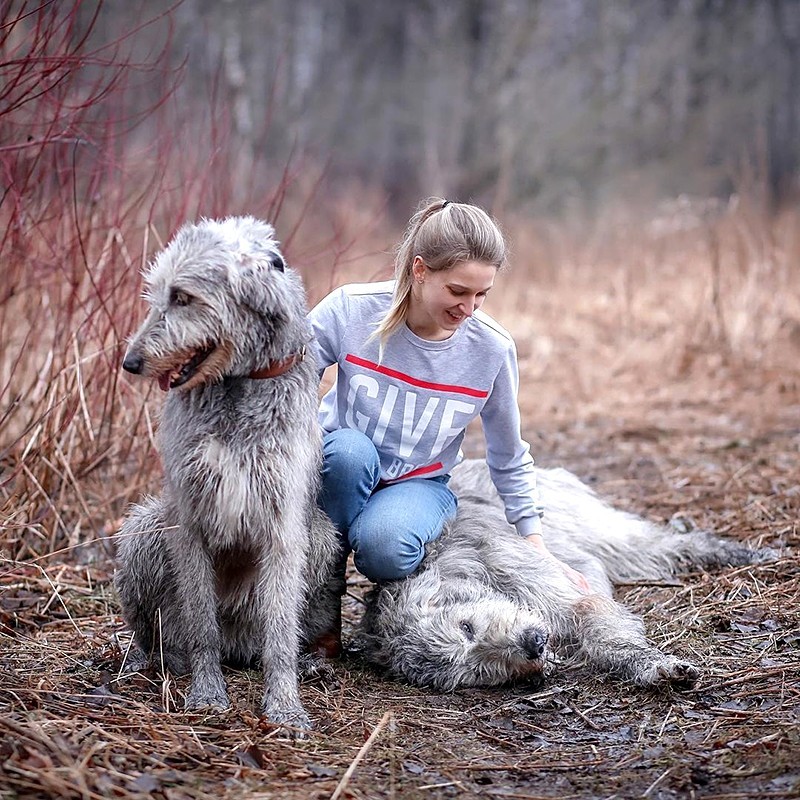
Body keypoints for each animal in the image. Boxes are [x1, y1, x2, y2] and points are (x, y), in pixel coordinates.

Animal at [117, 217, 342, 732]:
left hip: (321, 537)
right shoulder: (189, 518)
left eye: (183, 296)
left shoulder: (284, 525)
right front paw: (206, 692)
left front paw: (285, 704)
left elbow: (281, 630)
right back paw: (144, 660)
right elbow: (202, 623)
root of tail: (239, 647)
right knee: (156, 632)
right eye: (156, 294)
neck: (237, 385)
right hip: (144, 531)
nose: (130, 362)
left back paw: (309, 663)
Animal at [362, 460, 776, 692]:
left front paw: (650, 664)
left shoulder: (560, 589)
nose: (532, 645)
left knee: (672, 544)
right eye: (479, 671)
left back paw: (746, 553)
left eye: (467, 627)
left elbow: (603, 630)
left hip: (594, 526)